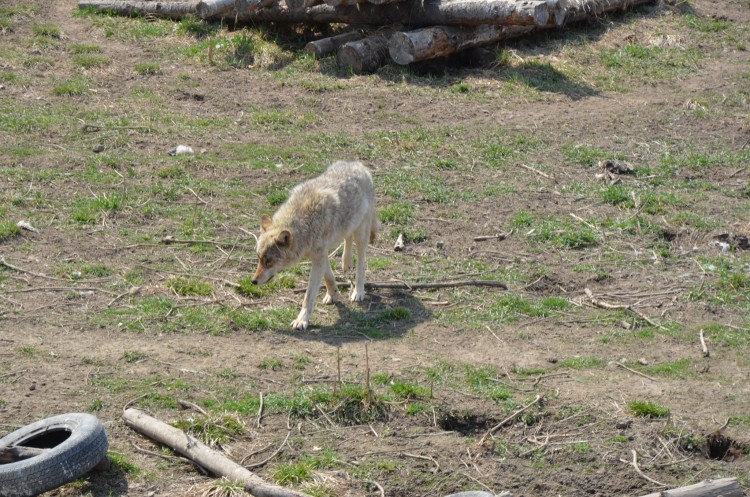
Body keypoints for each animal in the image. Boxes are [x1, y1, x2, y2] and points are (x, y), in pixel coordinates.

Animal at [253, 159, 378, 330]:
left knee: (361, 262)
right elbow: (328, 276)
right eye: (259, 259)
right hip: (349, 226)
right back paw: (346, 263)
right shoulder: (320, 254)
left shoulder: (319, 255)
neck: (304, 223)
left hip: (361, 233)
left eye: (269, 261)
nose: (253, 281)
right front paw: (333, 294)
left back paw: (358, 291)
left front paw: (302, 320)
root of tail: (359, 165)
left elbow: (309, 294)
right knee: (348, 238)